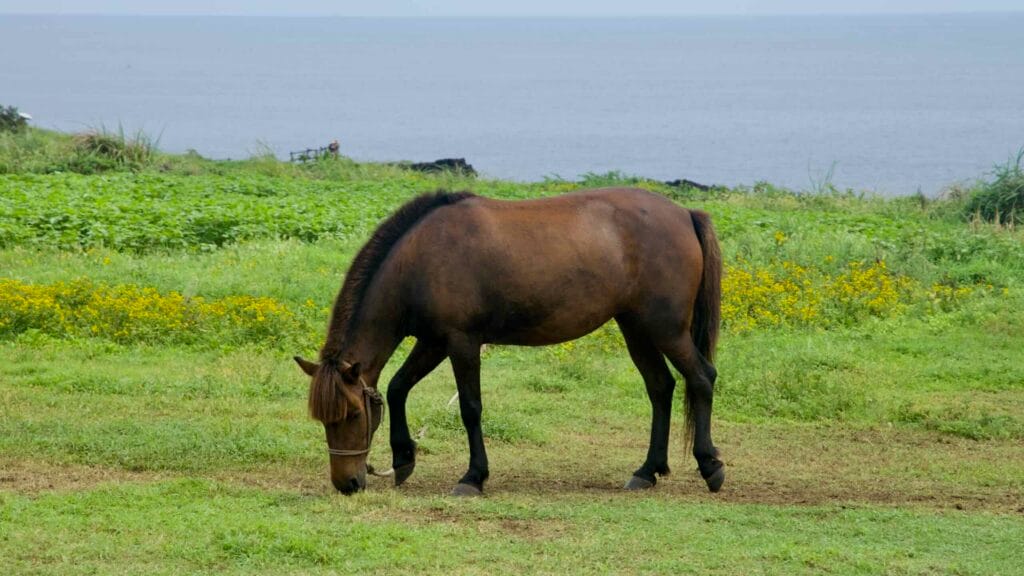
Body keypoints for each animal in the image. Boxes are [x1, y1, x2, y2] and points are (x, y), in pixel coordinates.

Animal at [293, 187, 724, 496]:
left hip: (666, 330)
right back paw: (647, 472)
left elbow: (470, 408)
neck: (421, 259)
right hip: (636, 329)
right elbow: (399, 388)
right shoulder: (433, 341)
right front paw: (403, 459)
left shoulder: (461, 342)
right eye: (323, 419)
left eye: (352, 415)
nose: (347, 484)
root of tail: (685, 214)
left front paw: (473, 477)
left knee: (702, 379)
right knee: (661, 388)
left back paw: (710, 467)